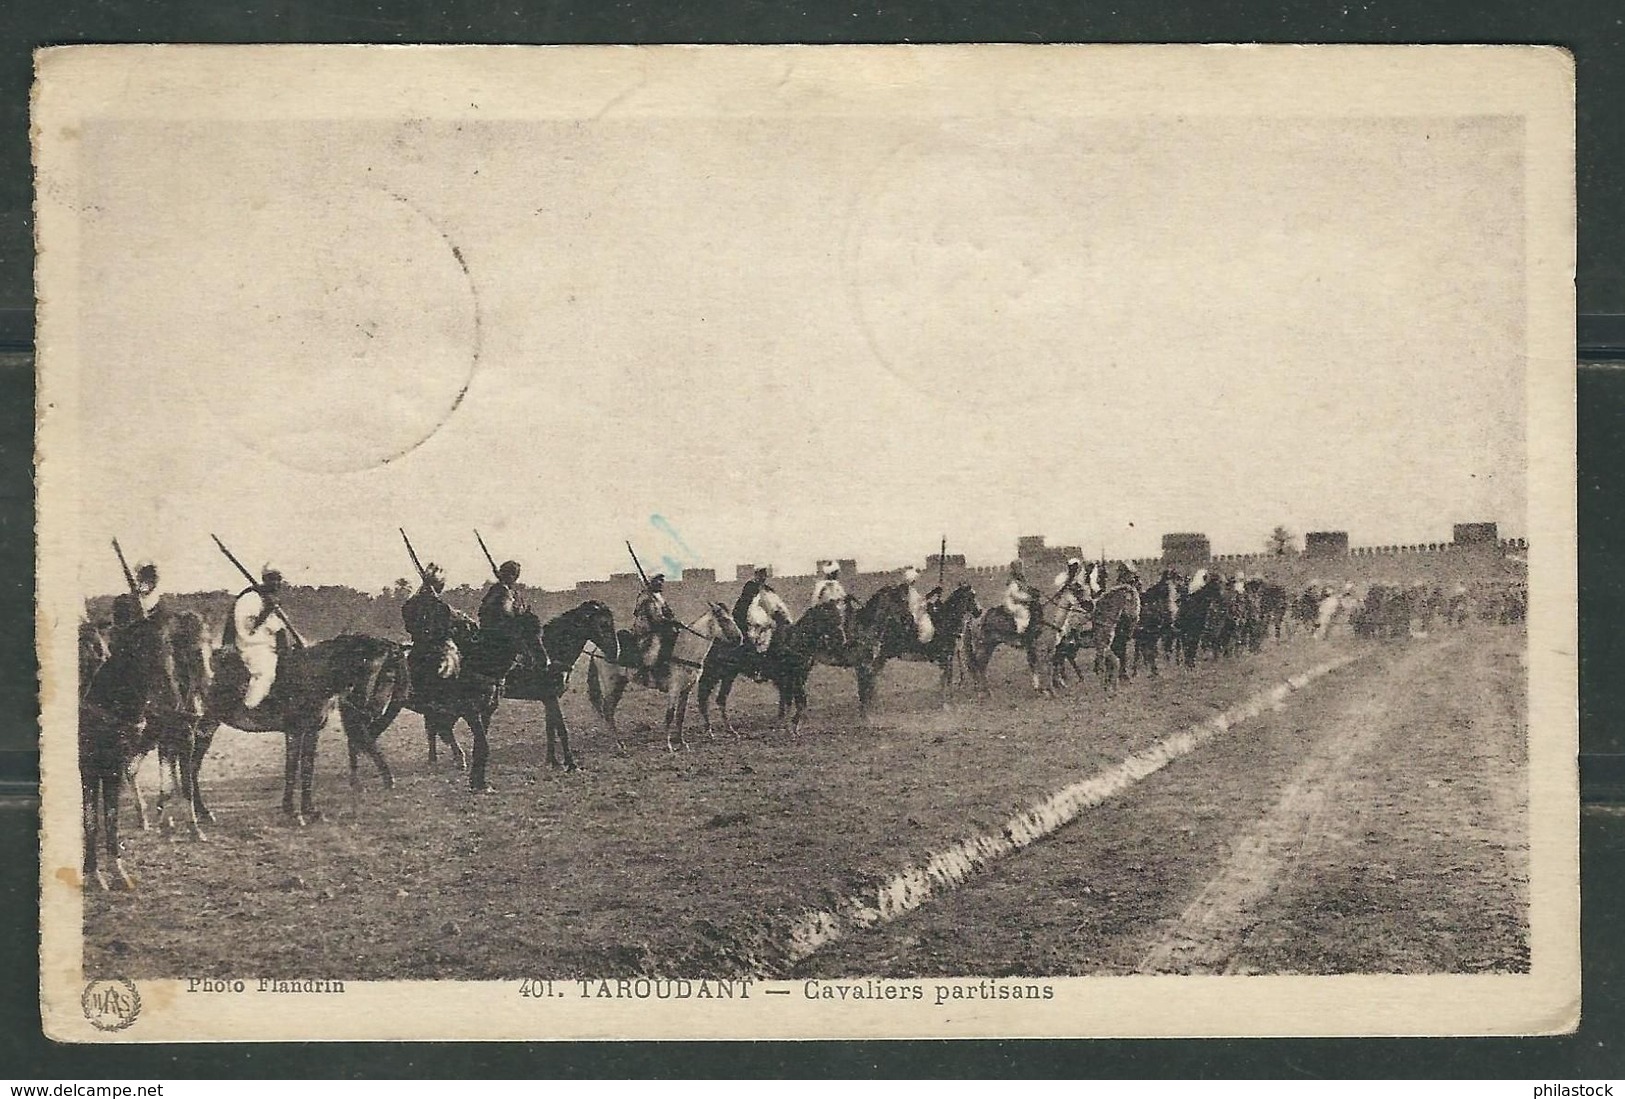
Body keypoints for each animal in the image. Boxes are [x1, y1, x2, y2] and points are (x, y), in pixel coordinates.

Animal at [497, 601, 617, 773]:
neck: (551, 652)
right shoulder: (551, 697)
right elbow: (561, 729)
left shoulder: (548, 699)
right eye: (603, 624)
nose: (615, 652)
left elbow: (550, 730)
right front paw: (571, 764)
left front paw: (552, 762)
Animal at [588, 604, 744, 751]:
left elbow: (680, 716)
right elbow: (670, 715)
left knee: (609, 711)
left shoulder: (686, 689)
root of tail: (596, 649)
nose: (740, 638)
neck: (685, 649)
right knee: (608, 711)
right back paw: (618, 744)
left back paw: (619, 743)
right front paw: (669, 746)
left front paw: (682, 742)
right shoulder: (674, 689)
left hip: (619, 684)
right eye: (724, 619)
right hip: (612, 685)